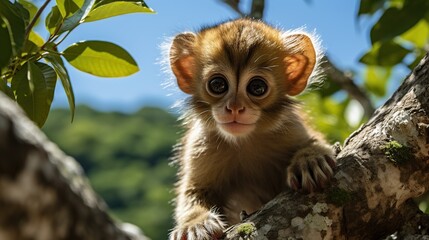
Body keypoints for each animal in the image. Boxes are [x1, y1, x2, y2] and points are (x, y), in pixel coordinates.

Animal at [167, 17, 334, 239]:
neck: (243, 141)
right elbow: (192, 190)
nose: (235, 108)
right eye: (217, 84)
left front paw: (310, 159)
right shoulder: (200, 145)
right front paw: (195, 223)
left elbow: (315, 142)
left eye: (257, 87)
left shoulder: (291, 127)